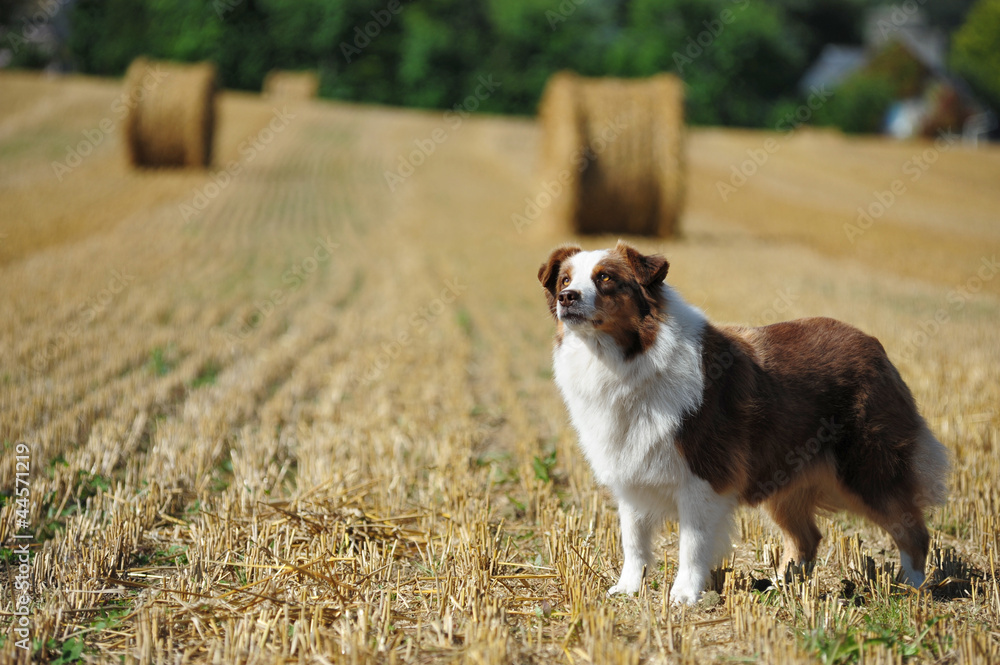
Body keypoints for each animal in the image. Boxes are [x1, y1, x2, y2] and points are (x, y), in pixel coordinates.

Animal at [544, 241, 948, 604]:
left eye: (605, 278)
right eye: (565, 278)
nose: (566, 297)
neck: (627, 358)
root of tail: (874, 345)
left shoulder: (704, 477)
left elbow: (692, 543)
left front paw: (685, 595)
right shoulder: (630, 474)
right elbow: (633, 539)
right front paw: (627, 588)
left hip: (867, 470)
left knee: (913, 529)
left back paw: (911, 589)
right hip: (787, 480)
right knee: (807, 537)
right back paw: (783, 587)